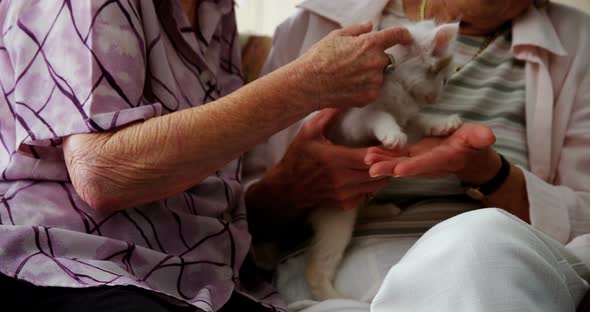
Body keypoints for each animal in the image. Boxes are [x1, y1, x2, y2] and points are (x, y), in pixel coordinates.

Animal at [308, 20, 464, 302]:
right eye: (444, 79)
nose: (437, 99)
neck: (397, 82)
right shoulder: (352, 122)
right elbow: (378, 116)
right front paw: (392, 135)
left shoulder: (408, 117)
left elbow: (418, 121)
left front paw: (442, 124)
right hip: (336, 216)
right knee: (317, 267)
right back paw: (335, 298)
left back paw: (385, 210)